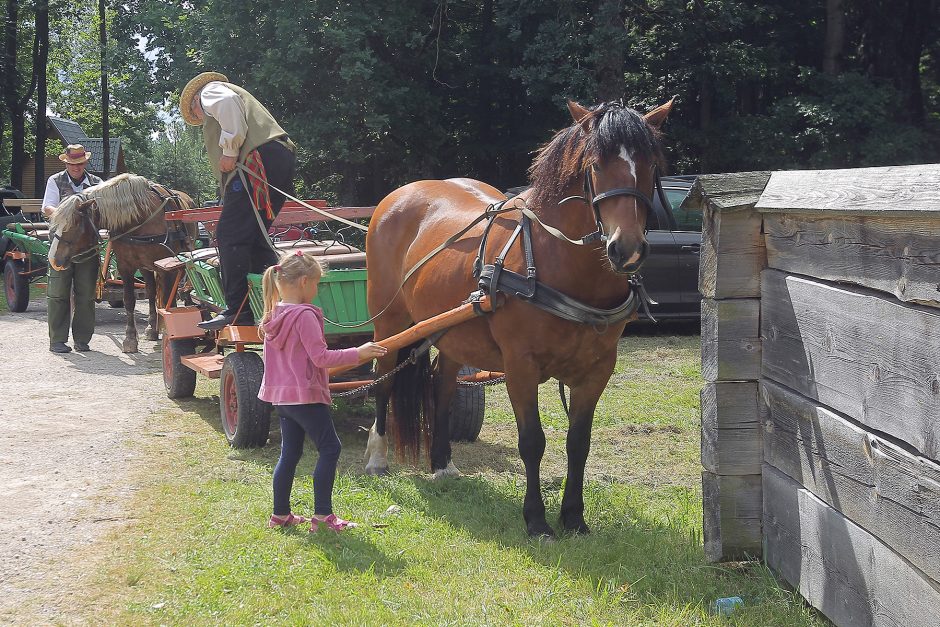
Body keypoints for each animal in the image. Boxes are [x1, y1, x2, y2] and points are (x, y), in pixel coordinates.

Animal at [47, 173, 196, 354]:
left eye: (74, 224)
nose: (53, 258)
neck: (141, 218)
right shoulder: (125, 266)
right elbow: (129, 300)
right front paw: (130, 338)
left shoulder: (167, 268)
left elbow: (169, 299)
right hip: (146, 266)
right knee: (151, 292)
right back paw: (152, 329)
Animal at [362, 99, 676, 540]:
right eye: (596, 165)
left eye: (650, 165)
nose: (626, 249)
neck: (558, 261)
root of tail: (400, 194)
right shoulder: (520, 365)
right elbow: (532, 441)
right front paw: (537, 520)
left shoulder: (598, 369)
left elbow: (579, 443)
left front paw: (574, 517)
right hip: (390, 322)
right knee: (384, 380)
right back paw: (377, 457)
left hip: (452, 330)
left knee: (442, 385)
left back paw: (442, 463)